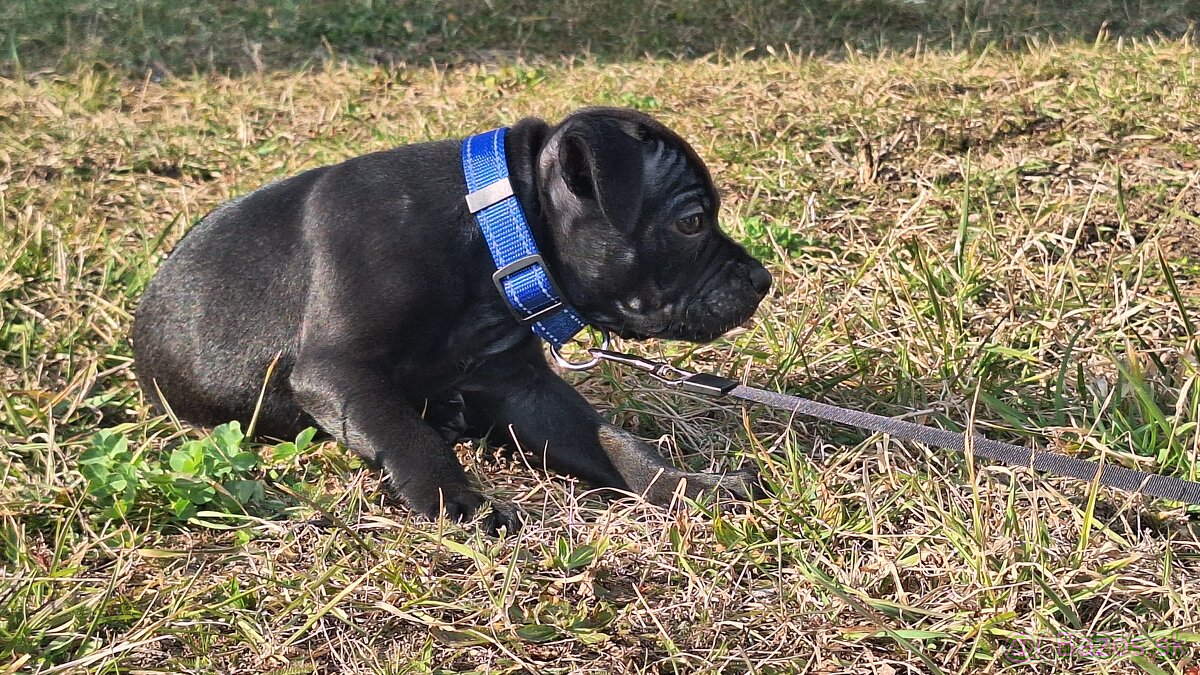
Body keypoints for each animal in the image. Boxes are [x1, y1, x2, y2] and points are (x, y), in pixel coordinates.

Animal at [131, 106, 768, 530]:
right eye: (691, 223)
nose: (763, 280)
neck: (490, 234)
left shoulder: (522, 389)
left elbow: (618, 444)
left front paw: (693, 485)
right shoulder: (339, 372)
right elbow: (403, 434)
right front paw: (458, 501)